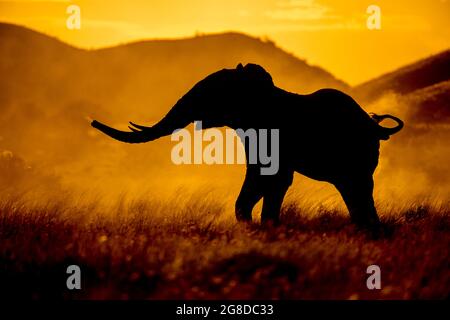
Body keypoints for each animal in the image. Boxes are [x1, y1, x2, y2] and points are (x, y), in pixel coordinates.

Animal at [92, 62, 404, 230]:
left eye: (209, 95)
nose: (93, 122)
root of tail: (376, 123)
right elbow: (264, 180)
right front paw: (258, 227)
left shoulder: (273, 135)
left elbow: (272, 179)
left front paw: (262, 227)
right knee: (353, 191)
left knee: (357, 188)